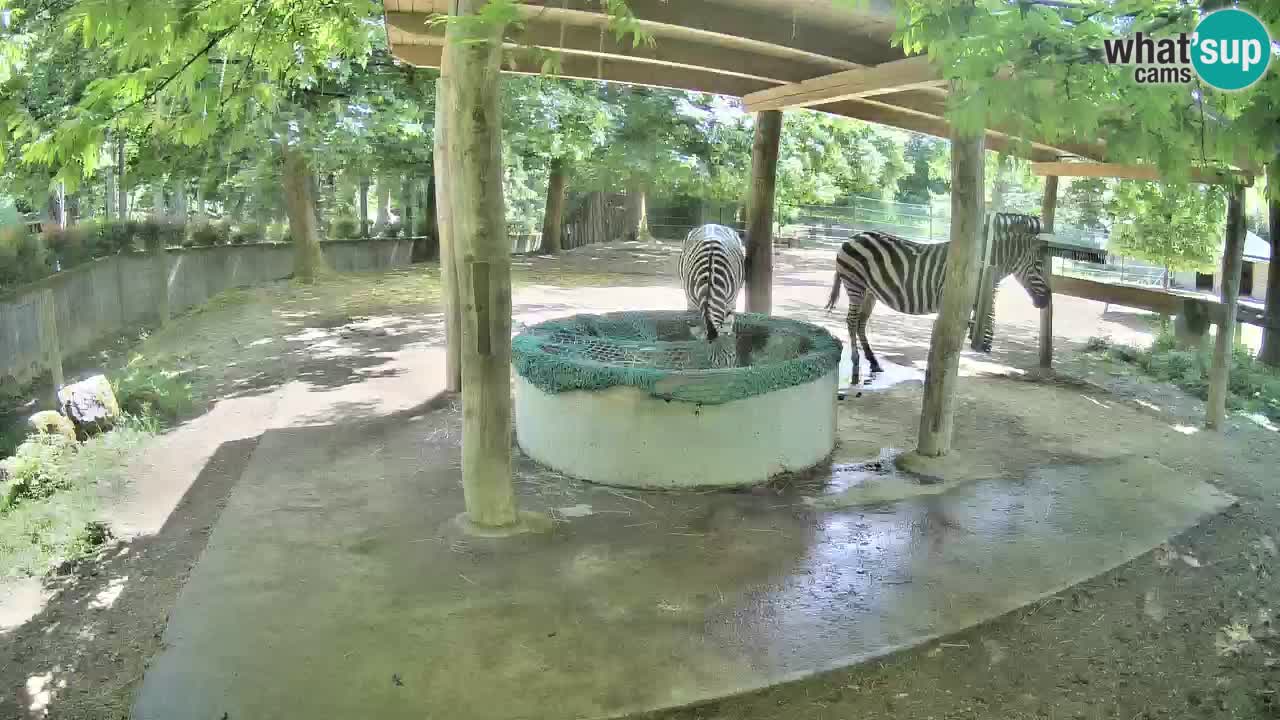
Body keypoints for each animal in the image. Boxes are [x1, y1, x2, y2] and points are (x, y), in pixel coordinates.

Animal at [824, 213, 1050, 386]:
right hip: (856, 285)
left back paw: (874, 362)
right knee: (851, 322)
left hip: (870, 291)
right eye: (1039, 265)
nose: (1047, 300)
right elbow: (955, 336)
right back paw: (856, 363)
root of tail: (853, 237)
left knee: (861, 323)